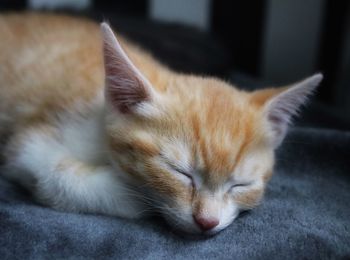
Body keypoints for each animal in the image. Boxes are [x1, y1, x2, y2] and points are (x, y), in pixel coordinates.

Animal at [0, 12, 322, 236]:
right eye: (180, 172)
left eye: (241, 184)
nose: (207, 221)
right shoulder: (34, 144)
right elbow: (51, 172)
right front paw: (137, 197)